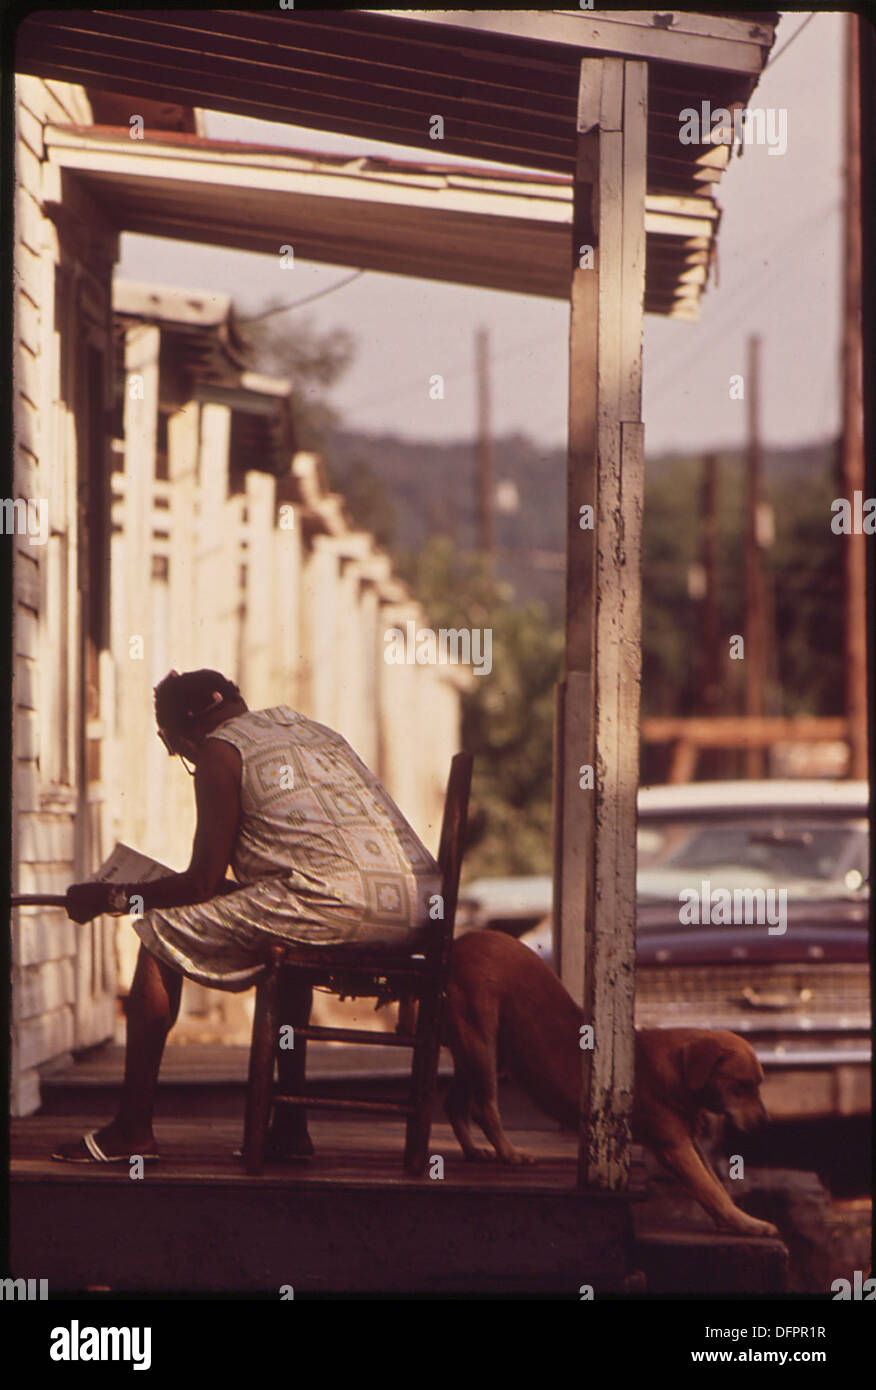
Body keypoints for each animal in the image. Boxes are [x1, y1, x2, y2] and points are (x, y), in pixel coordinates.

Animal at [444, 934, 784, 1239]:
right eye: (741, 1086)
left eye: (758, 1085)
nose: (766, 1123)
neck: (676, 1072)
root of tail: (462, 941)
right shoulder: (676, 1147)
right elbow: (711, 1192)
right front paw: (749, 1225)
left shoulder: (691, 1143)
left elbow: (717, 1187)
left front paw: (738, 1219)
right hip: (483, 1044)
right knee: (483, 1108)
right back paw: (509, 1153)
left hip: (477, 1054)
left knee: (454, 1105)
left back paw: (474, 1151)